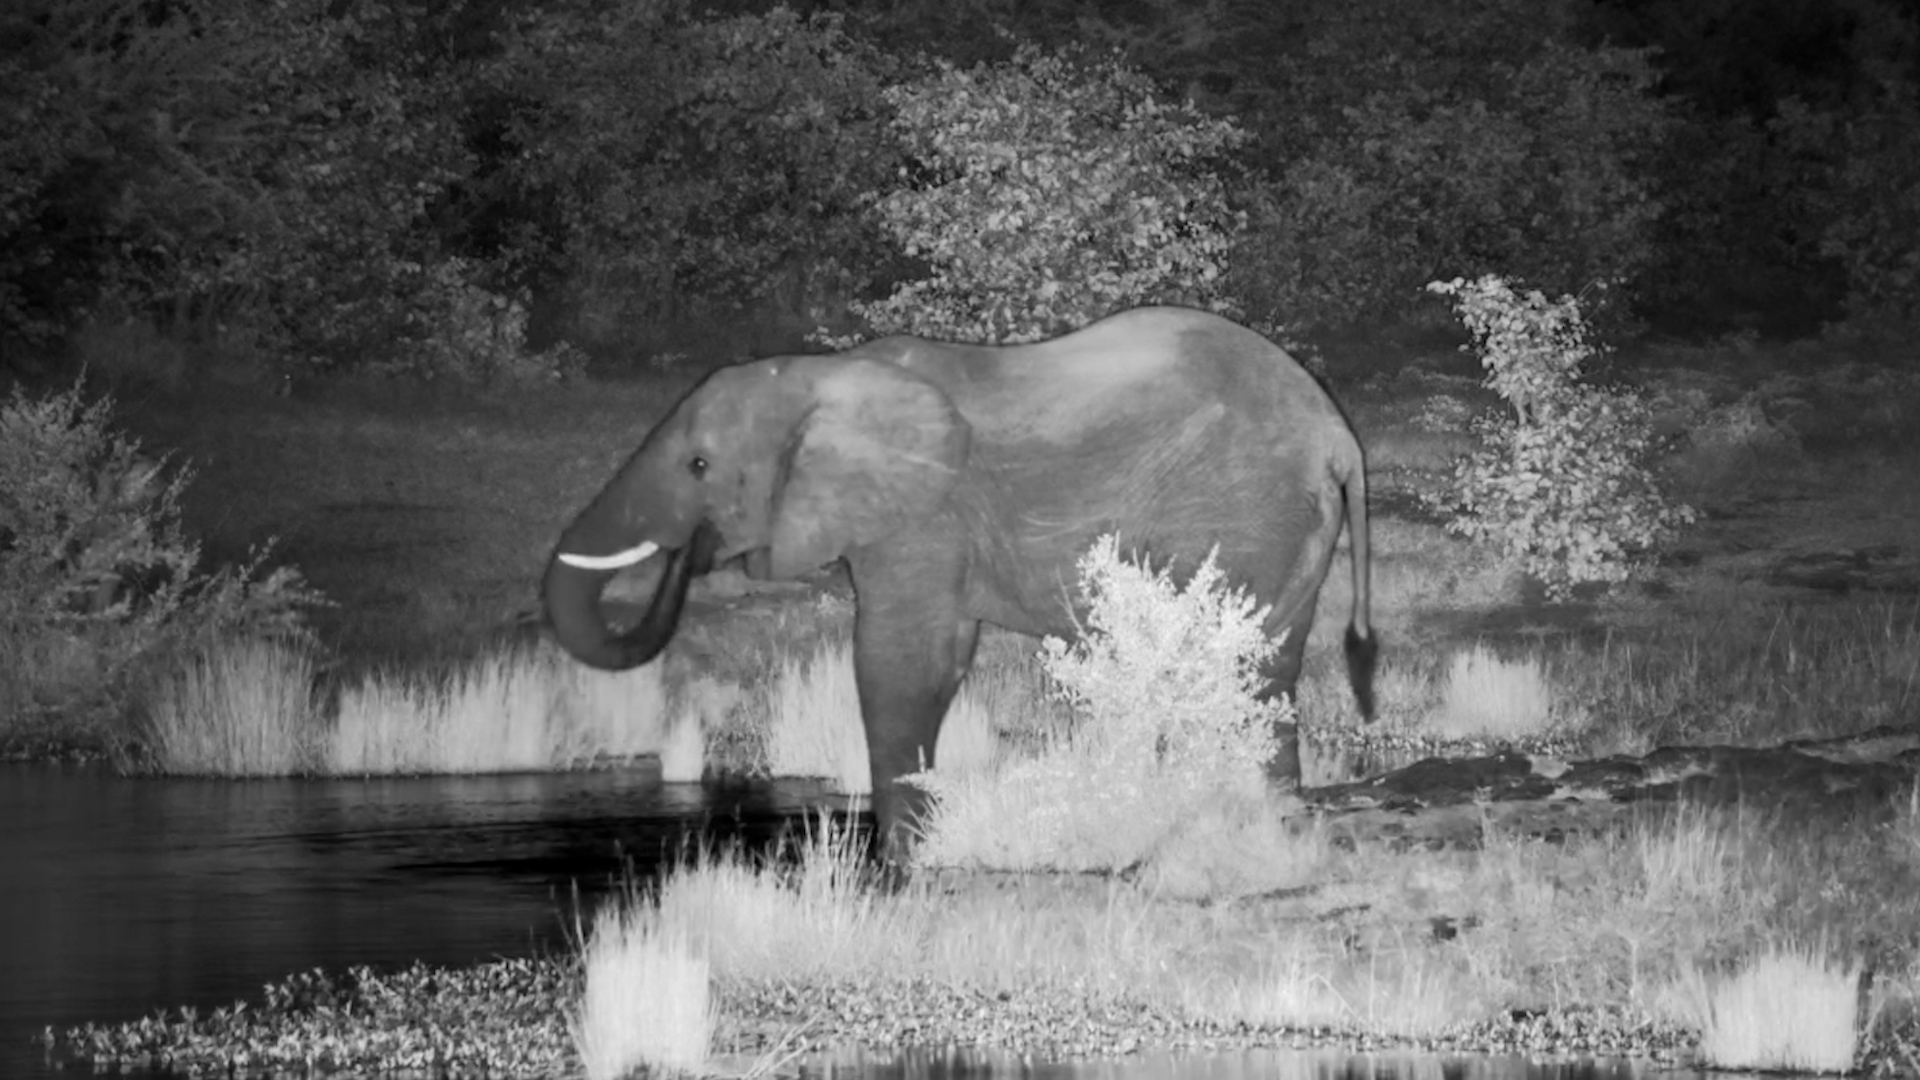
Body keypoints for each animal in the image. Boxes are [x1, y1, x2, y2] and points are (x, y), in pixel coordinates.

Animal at [542, 306, 1376, 860]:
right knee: (1269, 669)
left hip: (1246, 513)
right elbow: (940, 659)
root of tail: (1339, 434)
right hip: (1285, 526)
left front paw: (905, 863)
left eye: (699, 466)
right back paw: (1264, 818)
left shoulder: (919, 516)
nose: (691, 552)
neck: (821, 376)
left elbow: (896, 662)